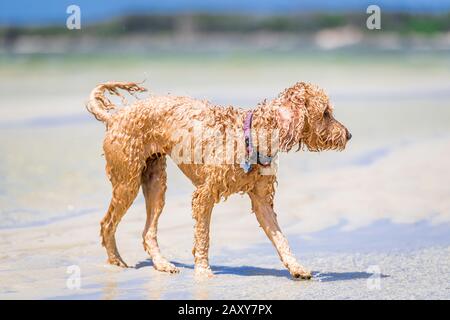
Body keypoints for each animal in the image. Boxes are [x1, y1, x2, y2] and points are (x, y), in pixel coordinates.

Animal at [86, 81, 350, 278]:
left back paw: (162, 264)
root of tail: (115, 116)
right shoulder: (204, 196)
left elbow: (281, 239)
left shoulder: (262, 202)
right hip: (127, 183)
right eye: (325, 113)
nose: (348, 134)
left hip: (155, 183)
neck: (252, 137)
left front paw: (296, 267)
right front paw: (203, 271)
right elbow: (203, 237)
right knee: (107, 223)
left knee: (148, 232)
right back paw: (116, 261)